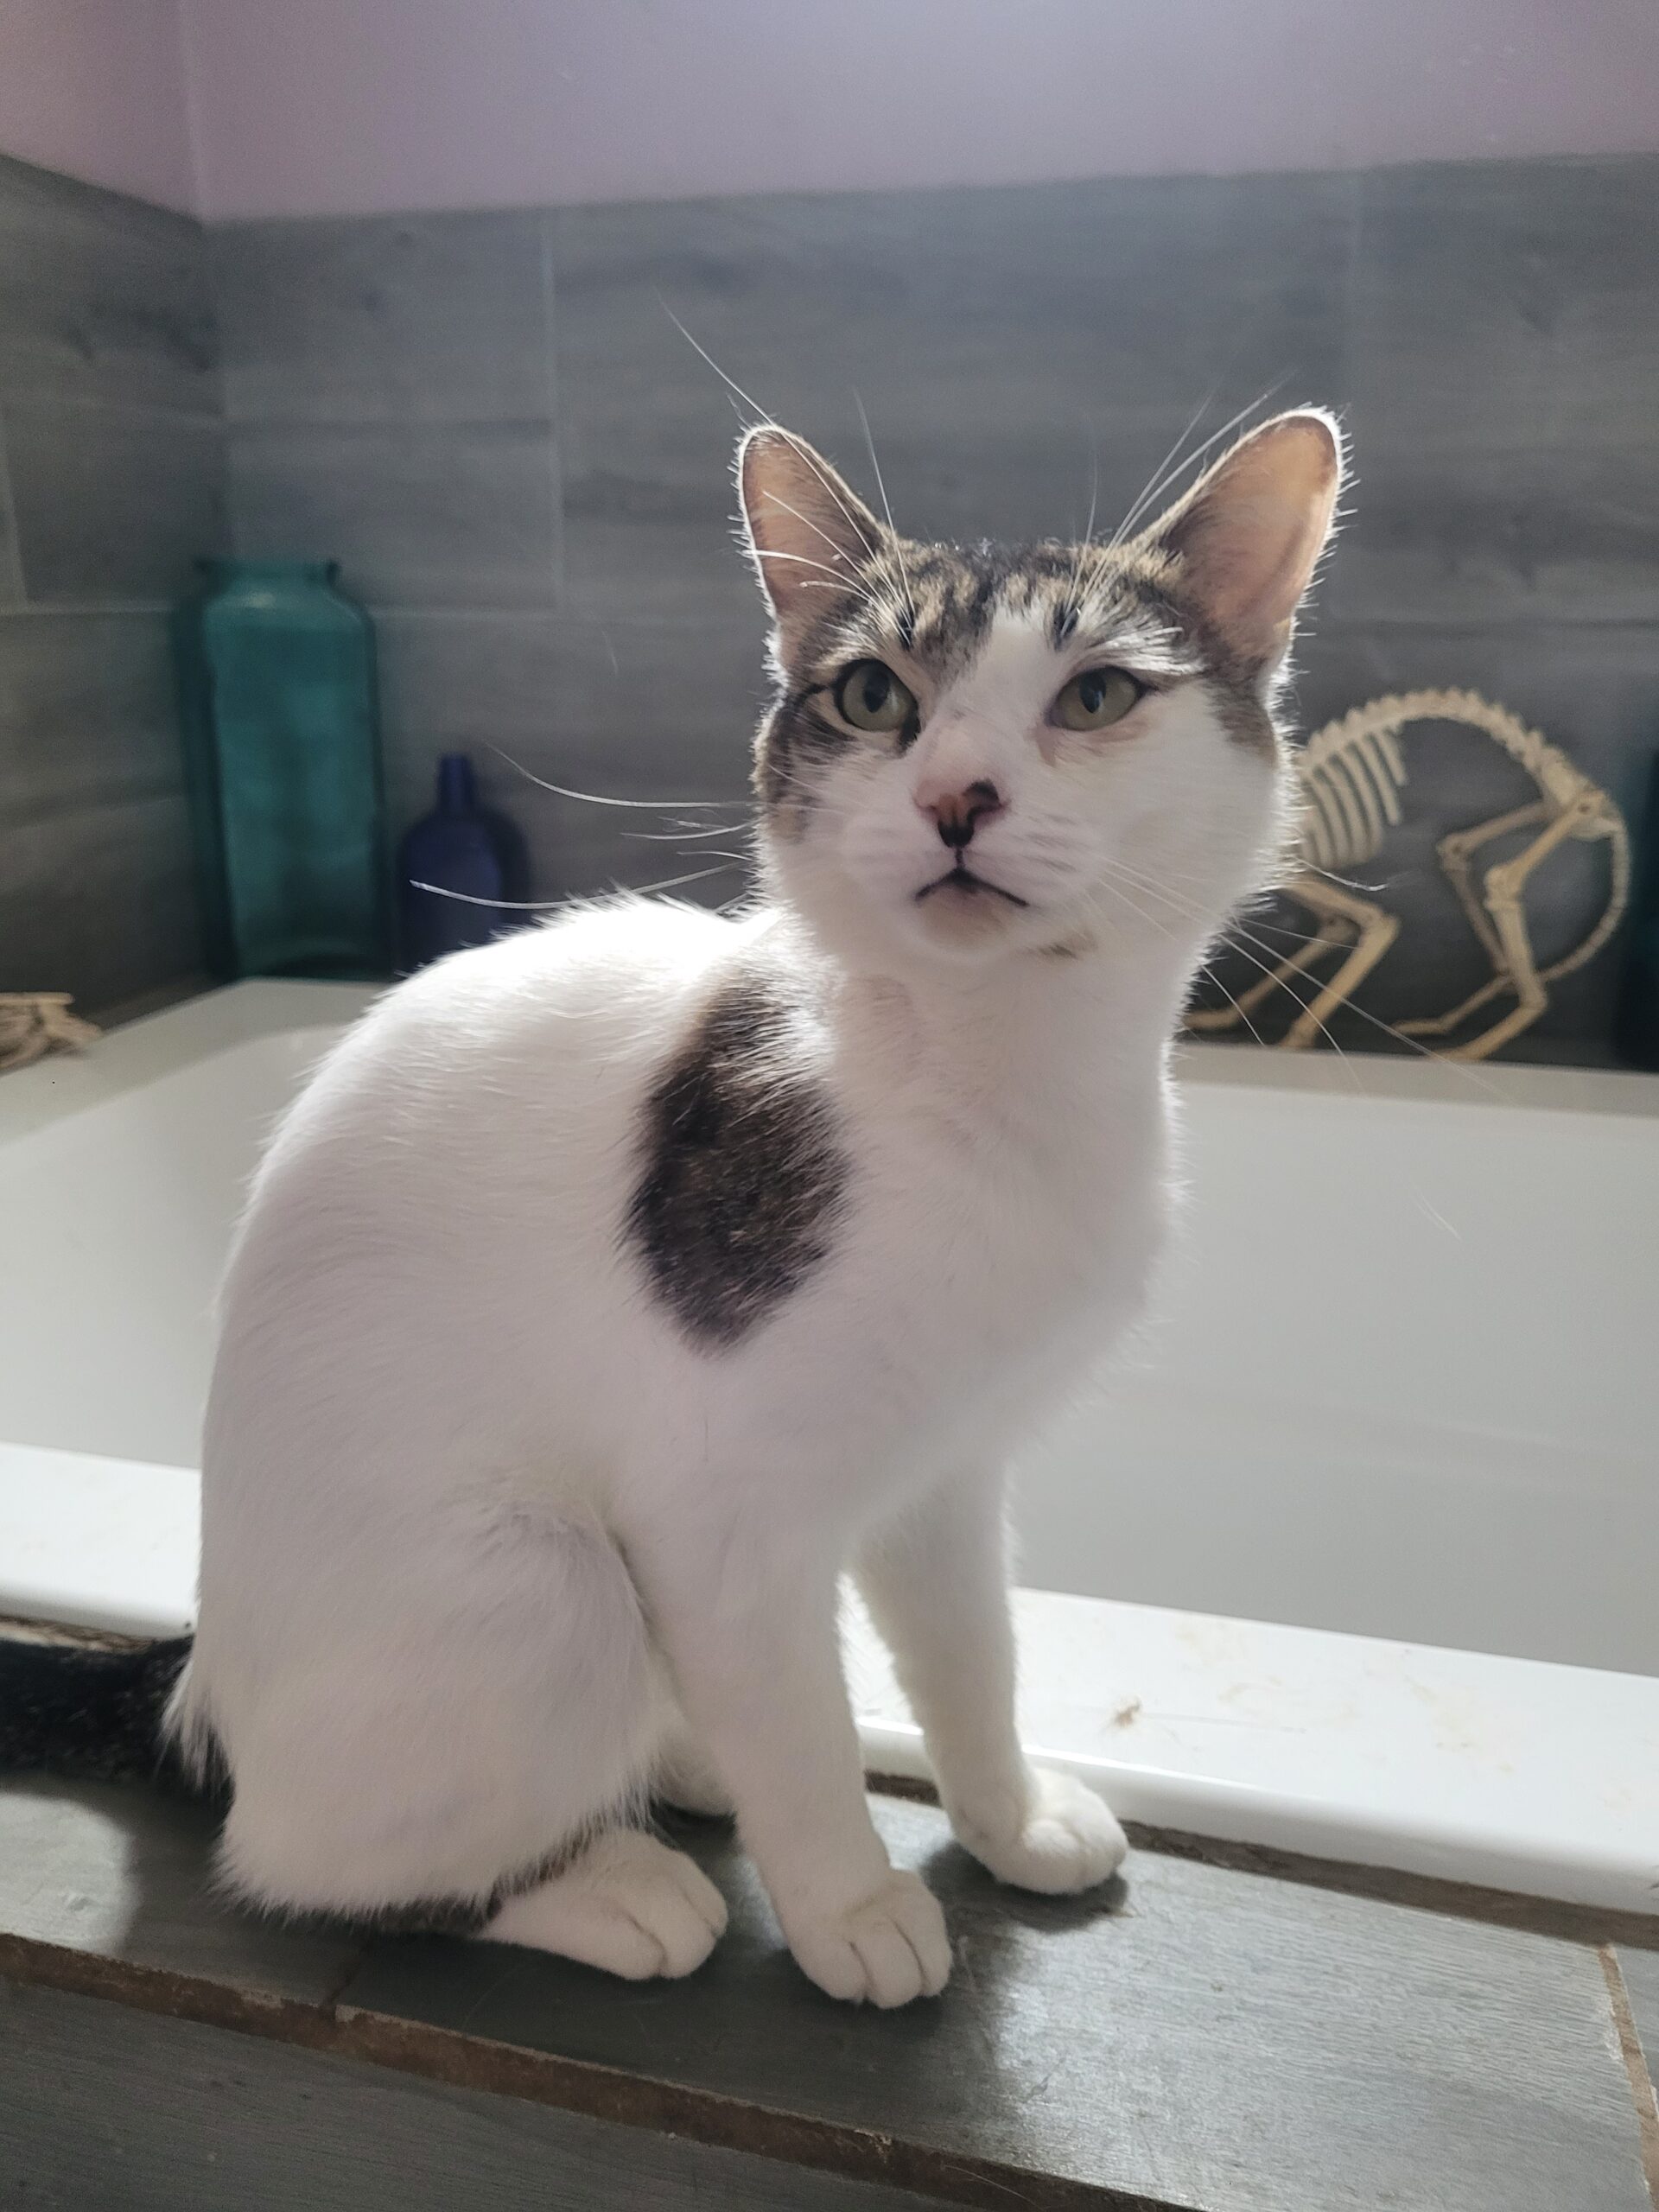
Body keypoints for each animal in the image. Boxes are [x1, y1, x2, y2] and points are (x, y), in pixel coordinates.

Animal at [4, 407, 1340, 2008]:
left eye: (1096, 694)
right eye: (874, 695)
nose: (957, 797)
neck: (987, 1078)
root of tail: (201, 1689)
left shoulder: (949, 1474)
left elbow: (973, 1657)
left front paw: (1006, 1817)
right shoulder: (720, 1515)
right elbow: (805, 1738)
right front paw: (850, 1906)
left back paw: (683, 1763)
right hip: (541, 1588)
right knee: (313, 1864)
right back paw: (607, 1884)